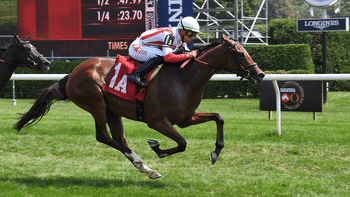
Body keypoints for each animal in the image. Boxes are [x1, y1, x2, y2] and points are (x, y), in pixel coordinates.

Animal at [14, 33, 266, 179]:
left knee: (119, 138)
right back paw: (140, 161)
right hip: (95, 102)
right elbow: (182, 143)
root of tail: (73, 73)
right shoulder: (156, 121)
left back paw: (145, 168)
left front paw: (215, 152)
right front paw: (158, 148)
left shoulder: (186, 118)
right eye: (239, 52)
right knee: (103, 136)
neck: (184, 79)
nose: (260, 74)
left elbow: (218, 117)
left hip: (112, 110)